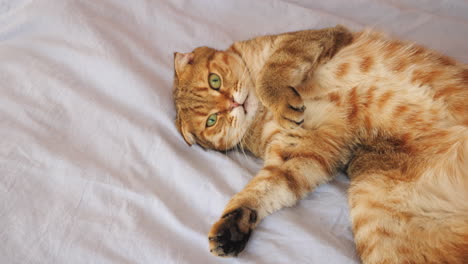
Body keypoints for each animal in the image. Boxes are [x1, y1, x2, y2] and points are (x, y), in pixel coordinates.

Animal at [173, 25, 468, 264]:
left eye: (214, 80)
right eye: (212, 121)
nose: (234, 104)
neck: (260, 112)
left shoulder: (307, 38)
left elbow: (271, 70)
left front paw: (279, 97)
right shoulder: (301, 151)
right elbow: (264, 189)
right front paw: (233, 226)